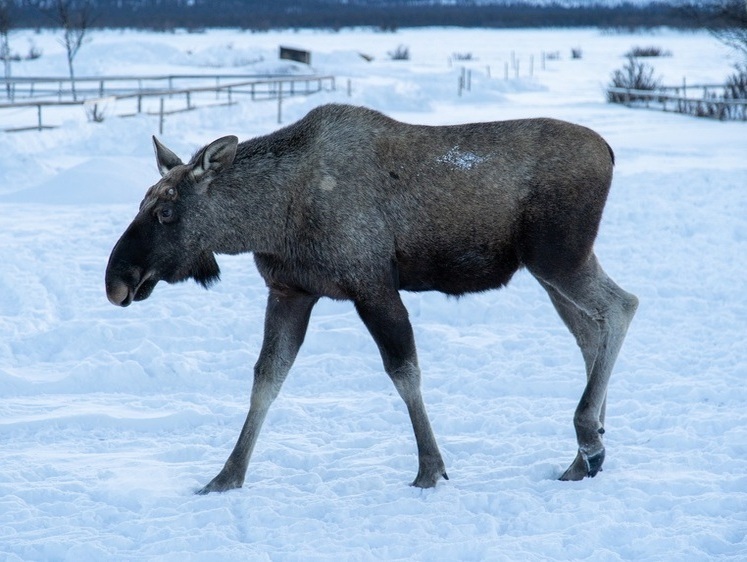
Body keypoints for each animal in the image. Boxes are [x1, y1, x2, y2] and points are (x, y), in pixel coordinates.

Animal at [108, 103, 640, 492]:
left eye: (167, 212)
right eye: (142, 202)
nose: (116, 281)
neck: (270, 219)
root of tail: (610, 151)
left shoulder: (372, 285)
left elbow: (405, 373)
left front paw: (430, 469)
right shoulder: (291, 291)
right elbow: (266, 379)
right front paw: (226, 477)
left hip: (557, 256)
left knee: (621, 306)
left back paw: (588, 437)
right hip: (549, 268)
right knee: (589, 333)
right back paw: (584, 456)